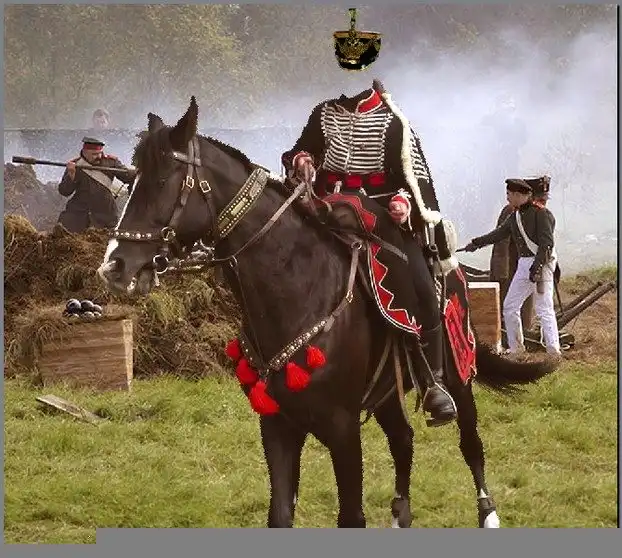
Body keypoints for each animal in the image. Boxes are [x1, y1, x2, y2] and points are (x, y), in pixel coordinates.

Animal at [96, 96, 560, 528]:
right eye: (133, 180)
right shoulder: (278, 426)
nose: (114, 266)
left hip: (458, 376)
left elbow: (351, 516)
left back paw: (487, 511)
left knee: (470, 441)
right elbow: (280, 515)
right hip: (387, 393)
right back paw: (401, 514)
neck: (296, 286)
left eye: (162, 180)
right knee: (403, 439)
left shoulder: (342, 430)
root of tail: (456, 270)